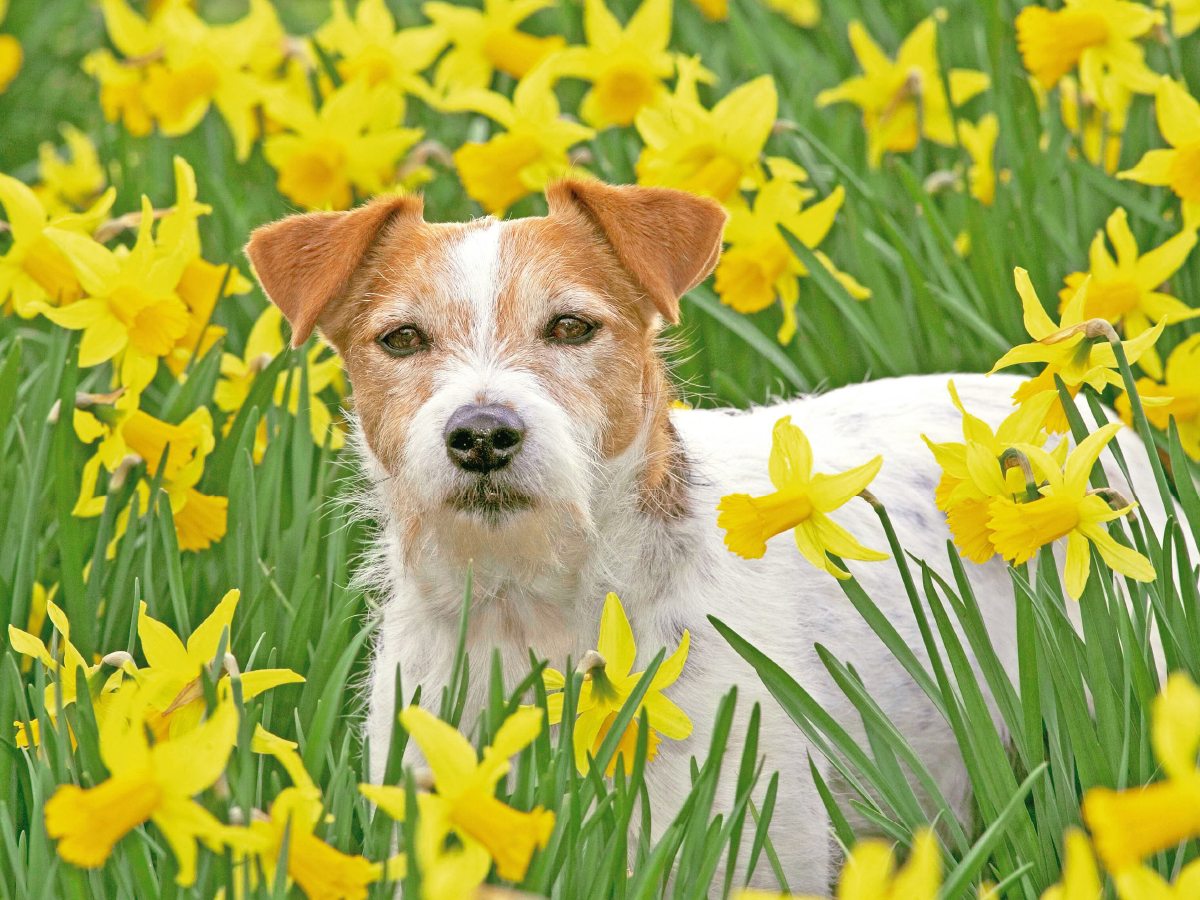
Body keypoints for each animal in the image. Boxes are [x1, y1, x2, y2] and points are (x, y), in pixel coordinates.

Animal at [243, 180, 1171, 892]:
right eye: (402, 339)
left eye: (571, 327)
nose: (481, 435)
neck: (534, 608)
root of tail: (1079, 416)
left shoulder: (742, 847)